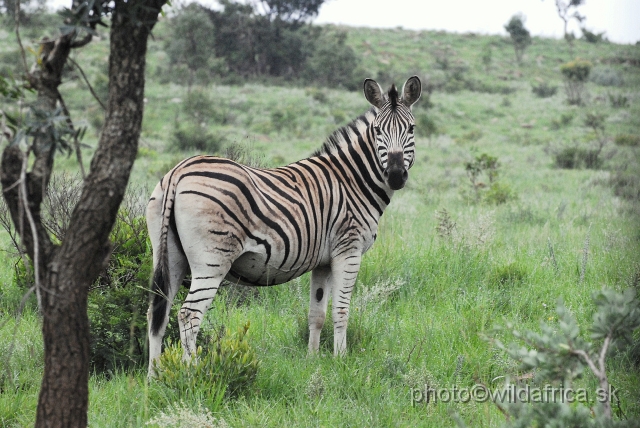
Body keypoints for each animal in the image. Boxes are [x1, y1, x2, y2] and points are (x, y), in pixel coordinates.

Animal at [148, 76, 422, 374]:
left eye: (411, 128)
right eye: (378, 130)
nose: (395, 175)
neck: (352, 181)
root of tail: (178, 172)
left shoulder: (323, 261)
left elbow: (317, 313)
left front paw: (312, 361)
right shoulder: (348, 250)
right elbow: (341, 310)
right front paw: (341, 361)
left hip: (169, 256)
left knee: (157, 314)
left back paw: (155, 377)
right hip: (211, 260)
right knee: (189, 315)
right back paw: (193, 374)